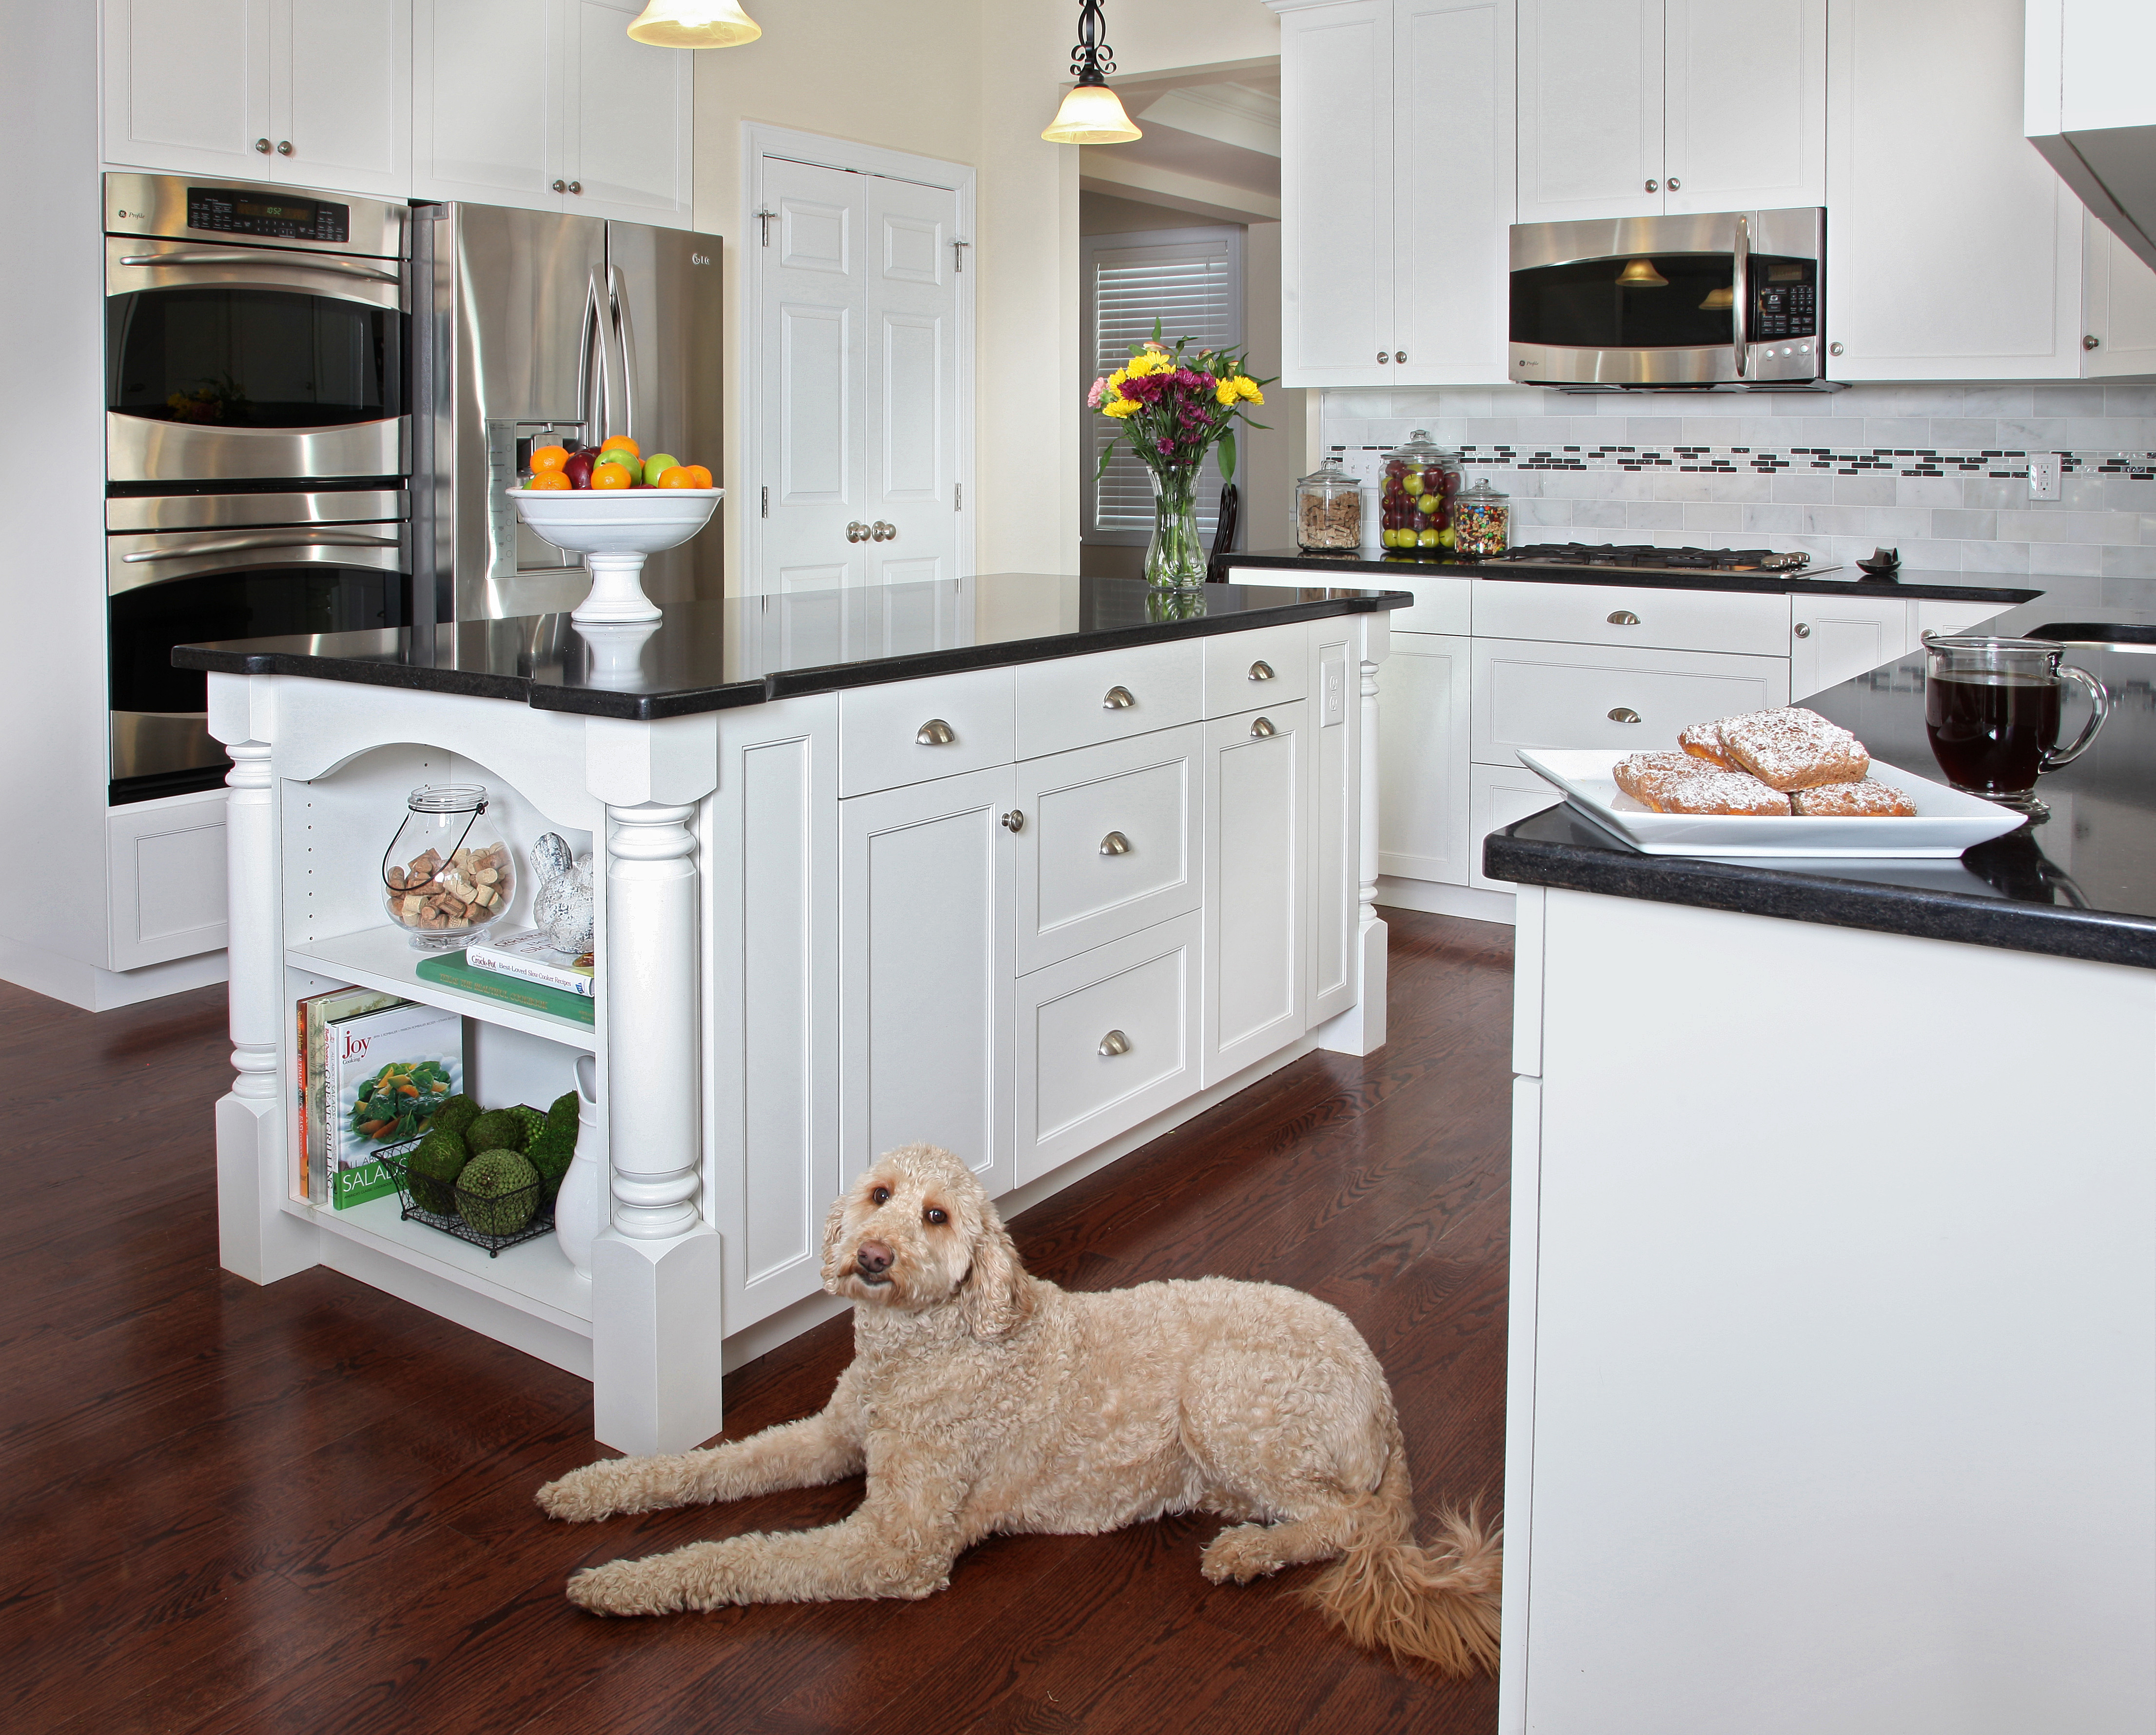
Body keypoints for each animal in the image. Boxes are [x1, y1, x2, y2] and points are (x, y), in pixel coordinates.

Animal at [534, 1138, 1500, 1664]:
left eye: (936, 1216)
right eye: (880, 1195)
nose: (872, 1256)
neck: (921, 1350)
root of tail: (1381, 1388)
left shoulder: (898, 1545)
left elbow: (744, 1558)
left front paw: (621, 1581)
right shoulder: (829, 1439)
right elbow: (709, 1464)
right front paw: (590, 1489)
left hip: (1224, 1395)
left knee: (1353, 1522)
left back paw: (1247, 1553)